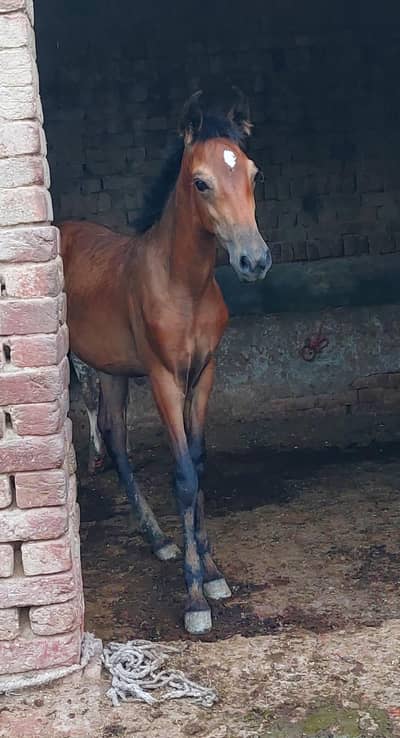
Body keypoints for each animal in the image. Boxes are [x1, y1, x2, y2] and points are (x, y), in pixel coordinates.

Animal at [60, 89, 272, 634]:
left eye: (253, 172)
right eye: (200, 182)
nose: (254, 261)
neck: (184, 285)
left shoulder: (205, 375)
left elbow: (198, 466)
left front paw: (212, 573)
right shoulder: (163, 380)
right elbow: (182, 475)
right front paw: (195, 599)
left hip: (112, 369)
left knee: (114, 436)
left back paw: (158, 540)